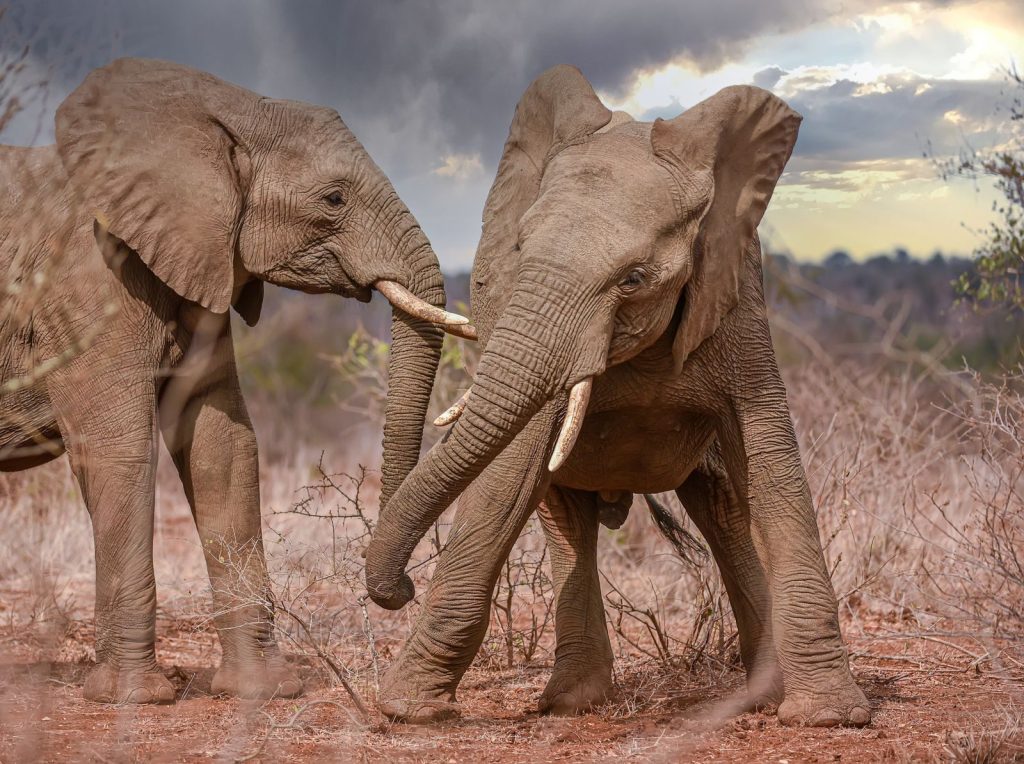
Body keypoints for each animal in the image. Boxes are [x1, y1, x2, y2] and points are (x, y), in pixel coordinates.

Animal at [0, 58, 471, 704]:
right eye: (333, 199)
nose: (401, 592)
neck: (225, 109)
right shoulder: (86, 291)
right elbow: (121, 452)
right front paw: (135, 699)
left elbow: (222, 448)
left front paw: (264, 690)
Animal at [364, 65, 871, 728]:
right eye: (520, 249)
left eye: (634, 279)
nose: (397, 589)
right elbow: (510, 474)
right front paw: (408, 710)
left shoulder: (738, 295)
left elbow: (772, 463)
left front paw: (829, 716)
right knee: (564, 514)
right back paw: (573, 703)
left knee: (724, 509)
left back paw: (760, 694)